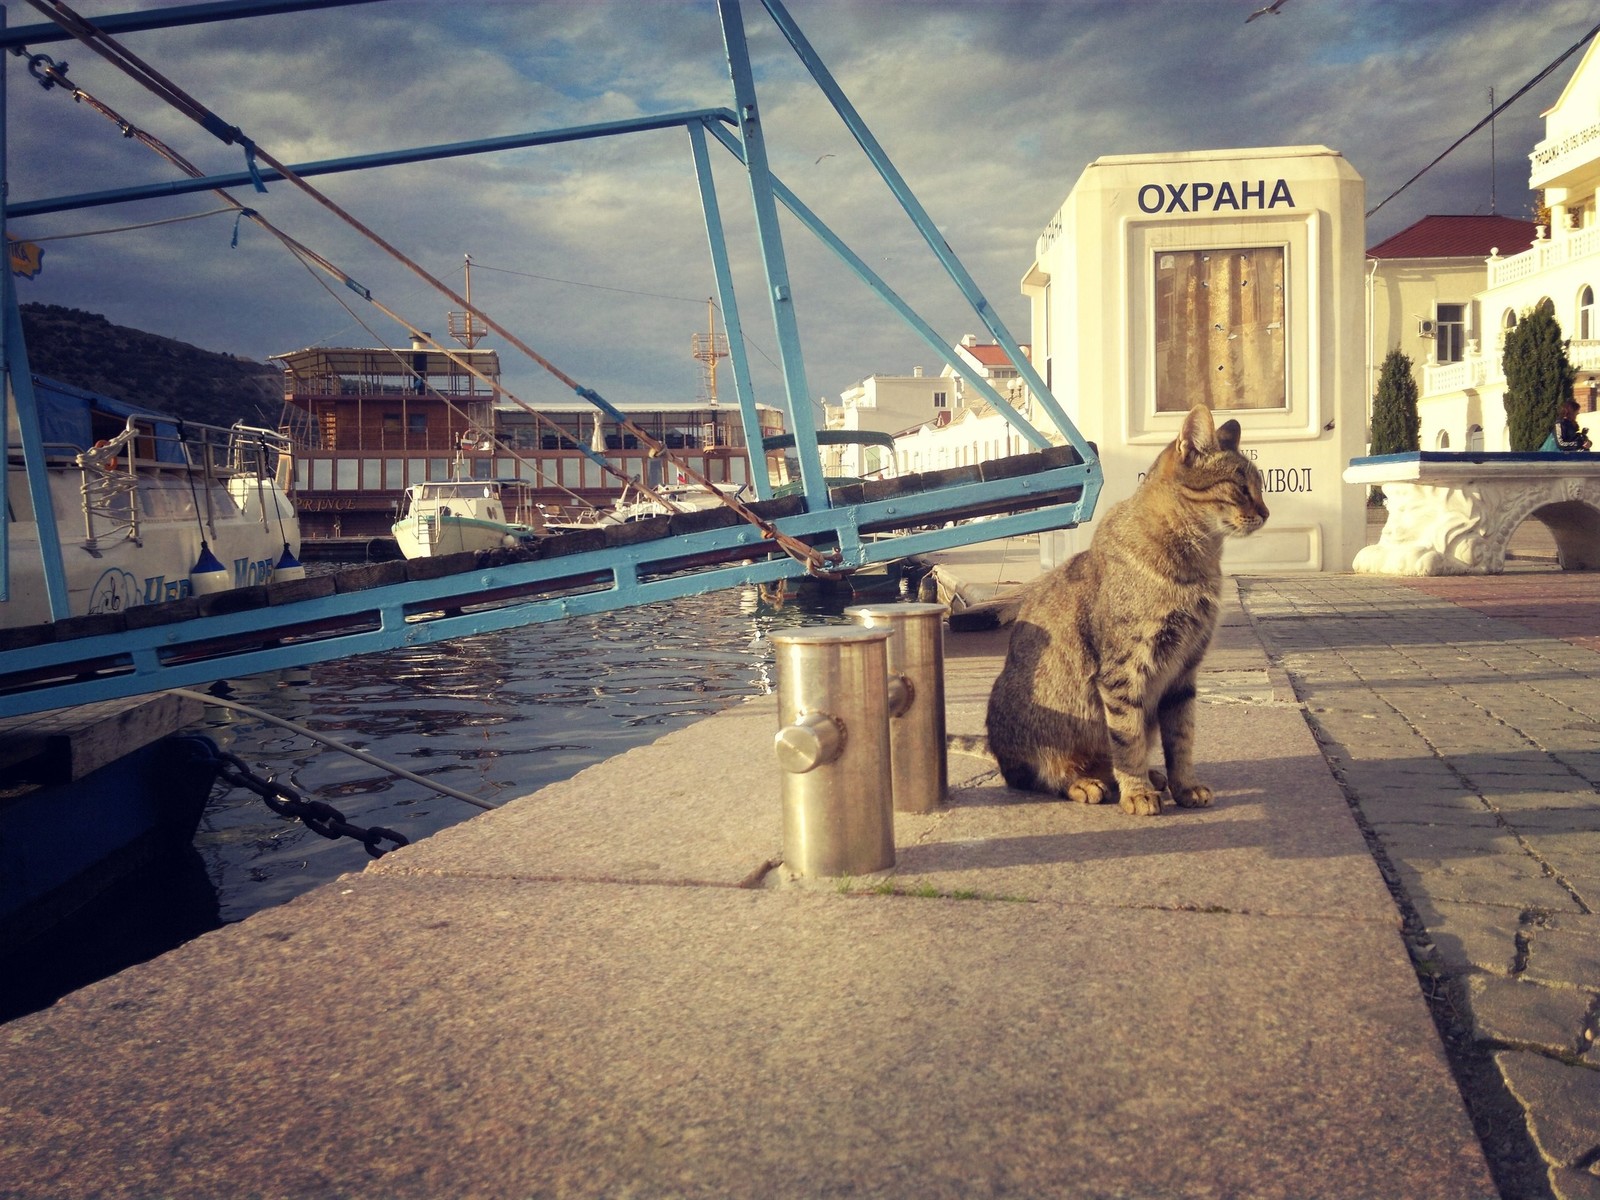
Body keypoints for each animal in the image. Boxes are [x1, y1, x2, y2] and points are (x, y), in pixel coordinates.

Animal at [979, 404, 1267, 819]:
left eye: (1261, 486)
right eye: (1241, 488)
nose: (1267, 512)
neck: (1198, 564)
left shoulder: (1184, 674)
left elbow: (1182, 740)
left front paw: (1183, 785)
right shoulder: (1124, 670)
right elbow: (1128, 738)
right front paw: (1137, 792)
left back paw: (1146, 776)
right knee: (1039, 777)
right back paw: (1088, 783)